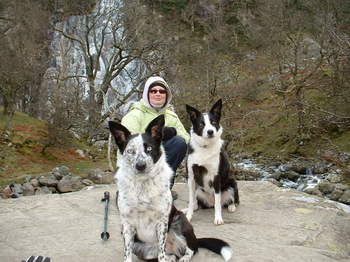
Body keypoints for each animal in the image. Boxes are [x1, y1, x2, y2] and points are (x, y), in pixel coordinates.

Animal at [108, 115, 232, 262]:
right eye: (130, 151)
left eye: (149, 149)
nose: (140, 166)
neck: (143, 185)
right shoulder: (127, 224)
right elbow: (127, 253)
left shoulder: (162, 221)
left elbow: (161, 251)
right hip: (140, 248)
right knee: (168, 255)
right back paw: (171, 257)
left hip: (179, 221)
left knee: (191, 249)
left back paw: (184, 257)